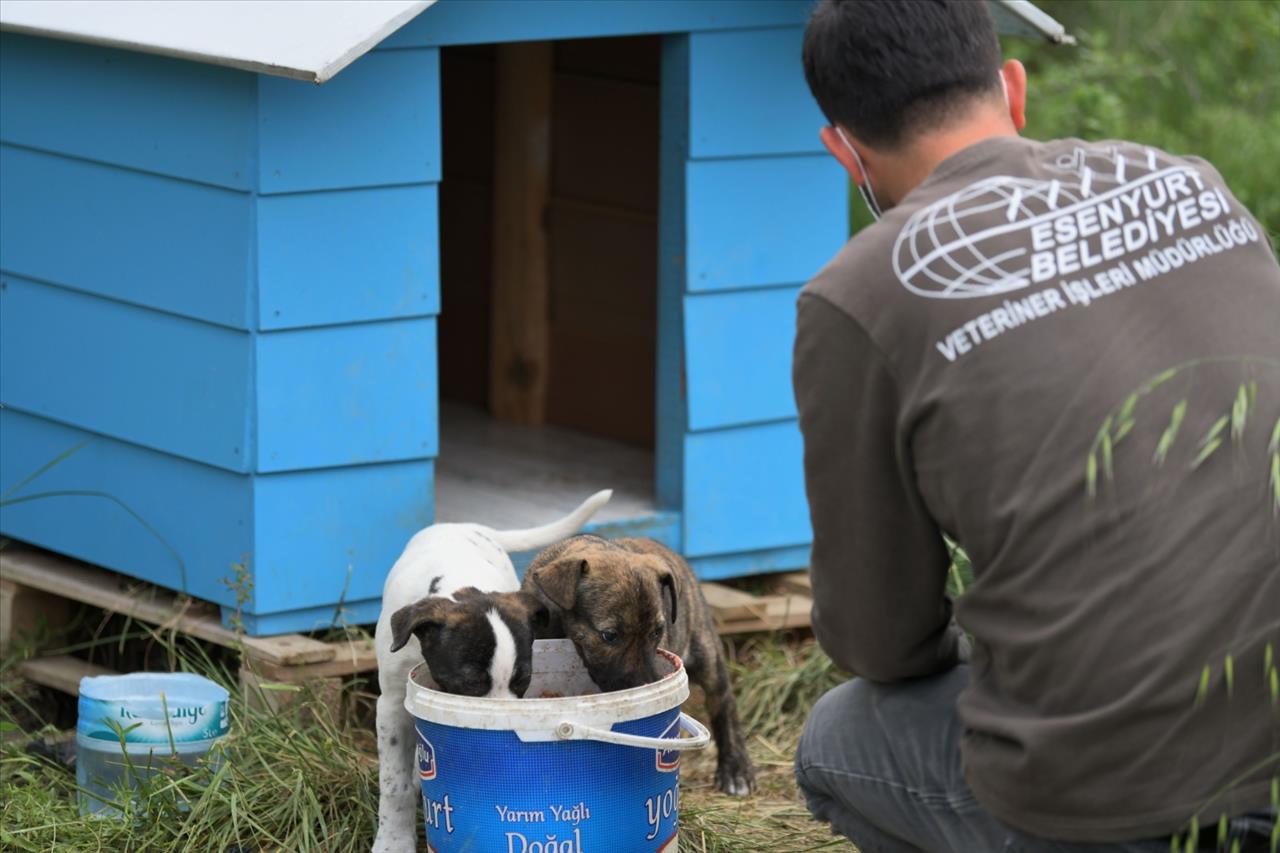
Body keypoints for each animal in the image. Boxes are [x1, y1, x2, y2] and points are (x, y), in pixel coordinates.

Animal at [371, 489, 609, 850]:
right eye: (469, 684)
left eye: (523, 681)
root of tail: (466, 525)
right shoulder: (393, 703)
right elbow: (394, 785)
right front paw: (392, 843)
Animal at [524, 535, 752, 794]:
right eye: (609, 635)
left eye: (657, 631)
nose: (646, 684)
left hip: (706, 652)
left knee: (723, 702)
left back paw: (735, 769)